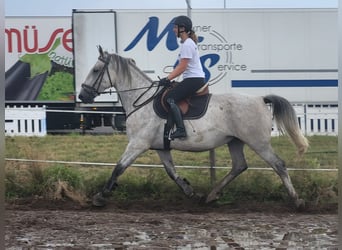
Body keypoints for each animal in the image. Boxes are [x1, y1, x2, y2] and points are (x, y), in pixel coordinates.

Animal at [79, 47, 308, 209]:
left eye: (96, 70)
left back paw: (297, 200)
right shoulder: (160, 147)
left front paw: (100, 197)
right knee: (239, 166)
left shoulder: (137, 144)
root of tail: (260, 99)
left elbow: (119, 168)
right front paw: (191, 192)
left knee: (278, 165)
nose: (82, 95)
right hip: (235, 141)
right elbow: (171, 172)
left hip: (258, 142)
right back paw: (211, 196)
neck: (141, 100)